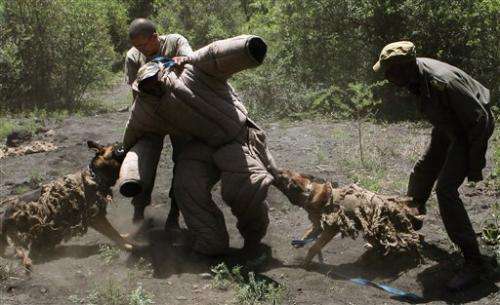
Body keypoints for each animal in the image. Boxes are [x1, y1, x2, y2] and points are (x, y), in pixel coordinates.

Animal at [0, 141, 136, 270]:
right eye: (118, 149)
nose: (125, 144)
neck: (96, 176)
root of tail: (5, 215)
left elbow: (115, 232)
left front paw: (125, 238)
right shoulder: (97, 218)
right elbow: (113, 232)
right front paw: (127, 245)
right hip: (28, 227)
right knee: (21, 249)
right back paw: (27, 260)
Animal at [270, 167, 422, 264]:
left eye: (282, 175)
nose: (271, 169)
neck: (311, 194)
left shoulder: (330, 229)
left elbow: (315, 247)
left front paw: (306, 262)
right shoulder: (318, 225)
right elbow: (308, 234)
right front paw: (300, 243)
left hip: (376, 229)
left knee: (390, 244)